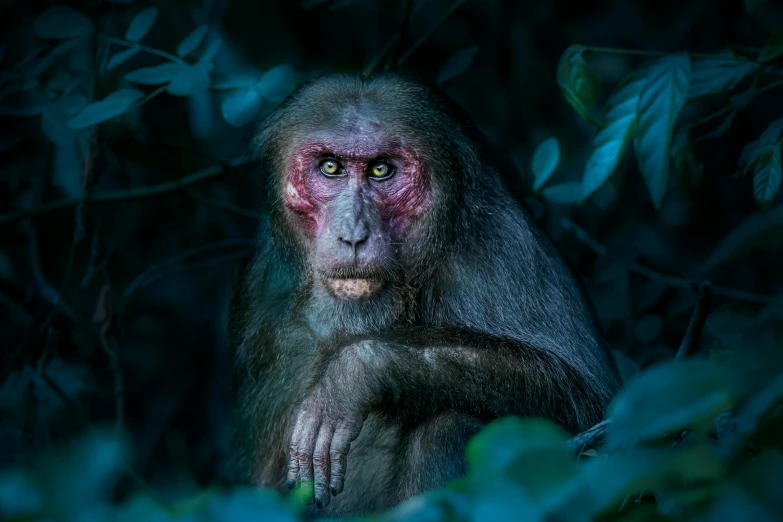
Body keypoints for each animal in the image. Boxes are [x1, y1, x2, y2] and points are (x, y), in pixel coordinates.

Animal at [230, 73, 620, 516]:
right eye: (330, 167)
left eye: (381, 169)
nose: (353, 233)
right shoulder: (258, 286)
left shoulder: (504, 248)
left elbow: (584, 396)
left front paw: (352, 375)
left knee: (448, 426)